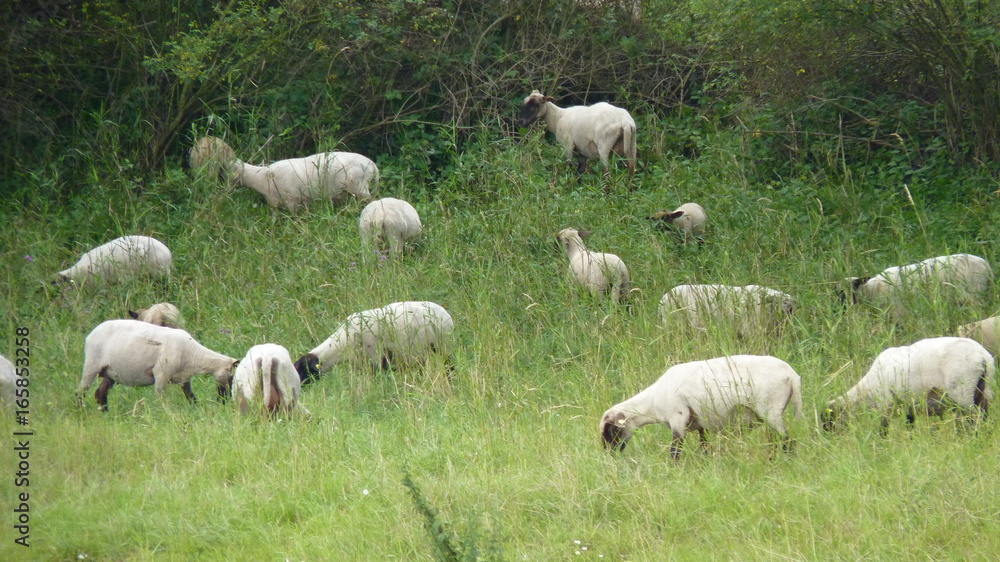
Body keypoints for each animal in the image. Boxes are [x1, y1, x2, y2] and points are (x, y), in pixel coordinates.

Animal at [76, 319, 239, 411]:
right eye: (231, 379)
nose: (225, 401)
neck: (193, 354)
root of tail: (90, 334)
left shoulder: (184, 379)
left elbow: (191, 397)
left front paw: (196, 411)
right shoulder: (161, 374)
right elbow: (161, 399)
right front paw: (166, 414)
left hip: (110, 373)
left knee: (100, 393)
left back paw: (104, 412)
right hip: (92, 363)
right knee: (80, 392)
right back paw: (81, 412)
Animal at [600, 355, 803, 459]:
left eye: (612, 430)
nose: (609, 455)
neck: (651, 404)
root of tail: (791, 374)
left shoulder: (677, 418)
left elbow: (675, 451)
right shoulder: (700, 423)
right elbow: (704, 446)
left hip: (770, 408)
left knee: (788, 441)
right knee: (775, 440)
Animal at [823, 337, 995, 432]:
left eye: (829, 421)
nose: (829, 440)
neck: (866, 390)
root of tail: (982, 356)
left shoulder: (885, 402)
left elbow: (883, 428)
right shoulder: (908, 405)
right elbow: (909, 425)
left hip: (963, 391)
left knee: (972, 418)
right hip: (984, 390)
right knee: (984, 416)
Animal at [843, 253, 993, 318]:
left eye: (844, 293)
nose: (841, 311)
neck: (872, 289)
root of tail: (987, 266)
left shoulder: (899, 310)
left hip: (974, 293)